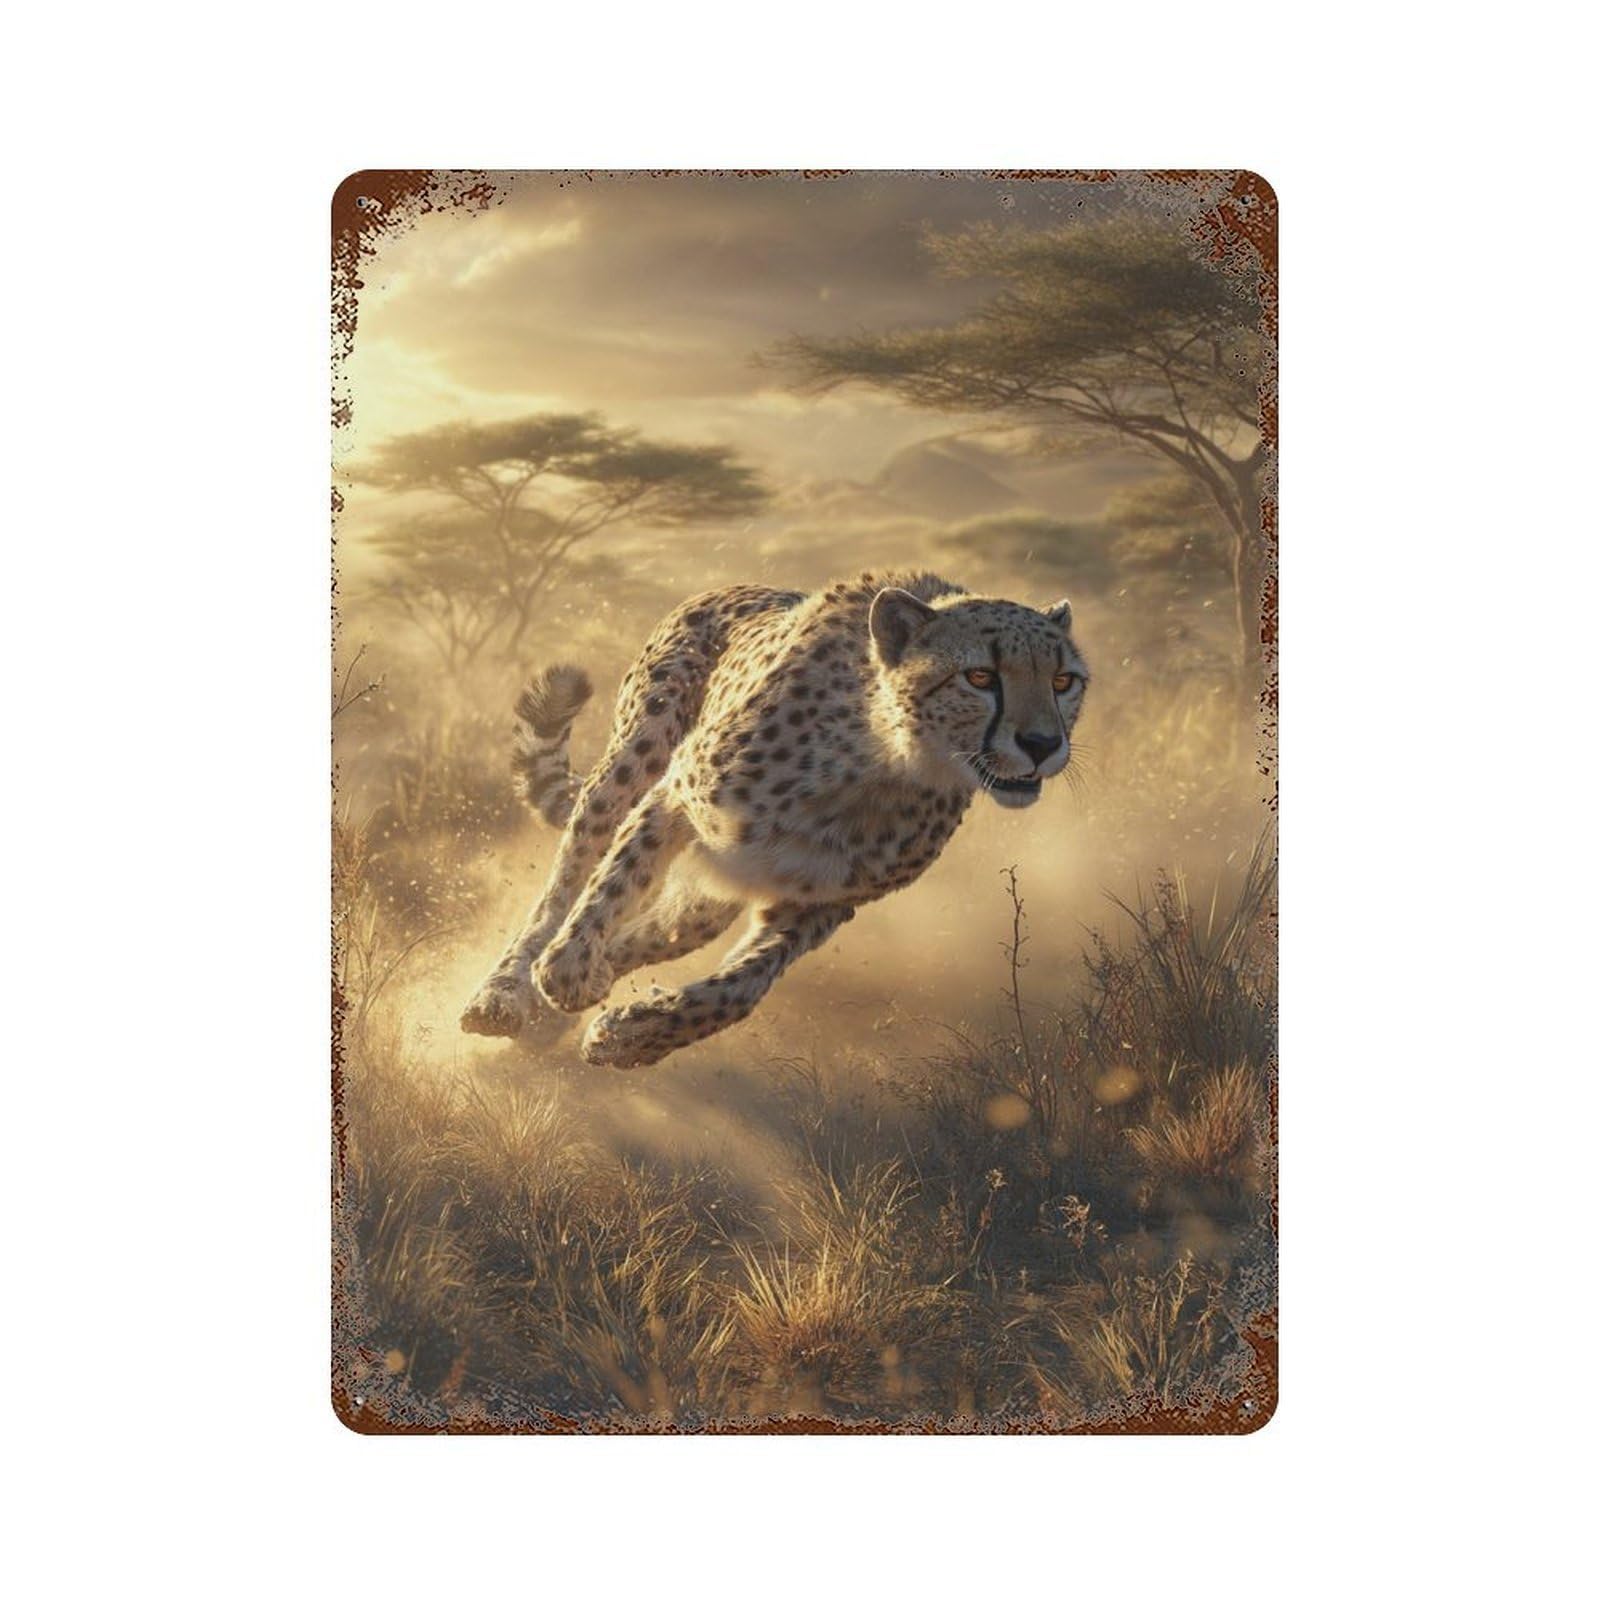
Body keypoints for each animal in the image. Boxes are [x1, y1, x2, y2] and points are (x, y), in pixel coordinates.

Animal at [460, 569, 1089, 1068]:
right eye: (980, 677)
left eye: (1064, 681)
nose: (1042, 744)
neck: (886, 764)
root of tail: (728, 587)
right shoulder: (675, 796)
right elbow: (603, 891)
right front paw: (567, 979)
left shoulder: (819, 900)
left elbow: (741, 990)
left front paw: (633, 1035)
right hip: (630, 769)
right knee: (563, 887)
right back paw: (504, 995)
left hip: (714, 891)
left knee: (658, 930)